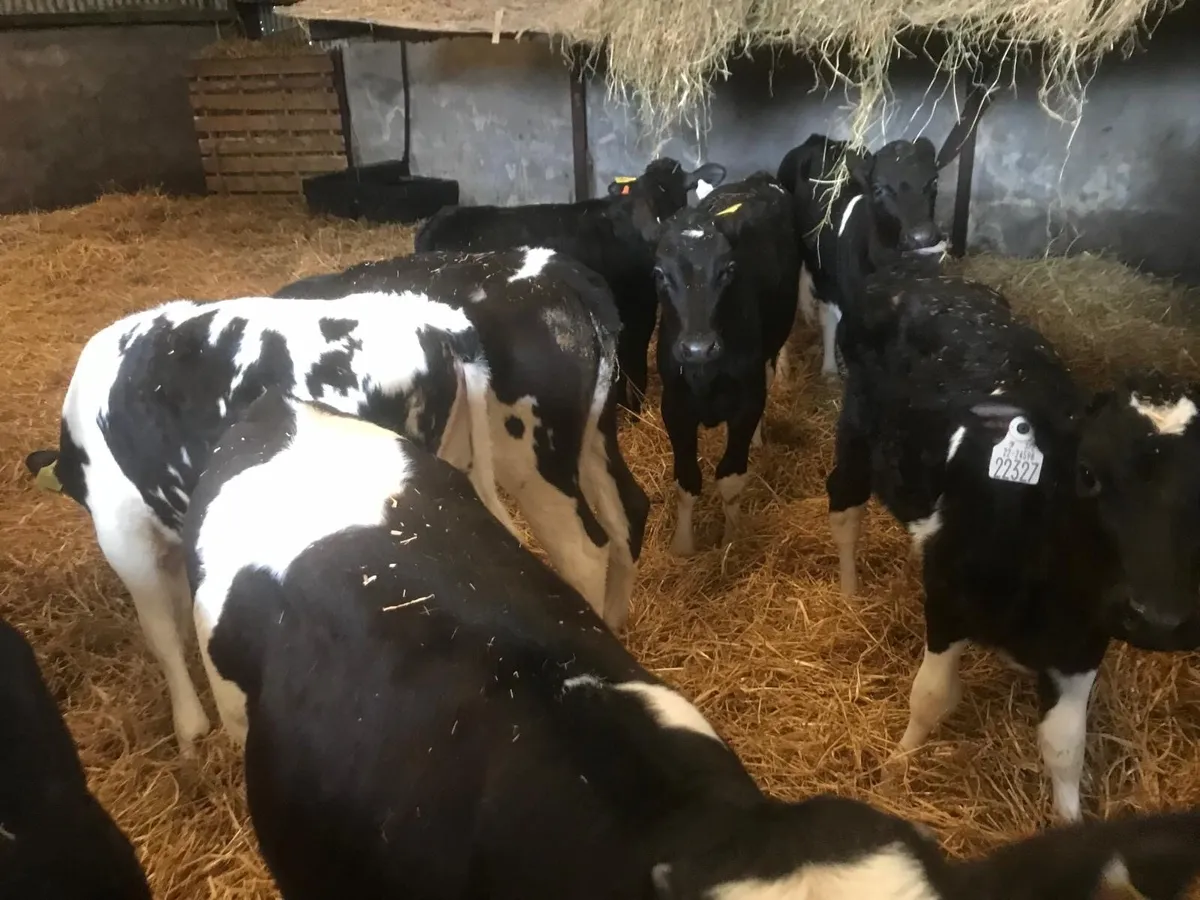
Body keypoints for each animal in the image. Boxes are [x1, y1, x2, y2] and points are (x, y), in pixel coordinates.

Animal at [26, 247, 647, 753]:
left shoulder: (122, 530)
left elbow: (160, 629)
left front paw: (190, 728)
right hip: (583, 442)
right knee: (626, 515)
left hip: (529, 461)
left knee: (582, 552)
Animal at [415, 157, 728, 415]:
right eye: (640, 195)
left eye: (676, 192)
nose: (656, 230)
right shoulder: (635, 312)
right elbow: (631, 364)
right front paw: (632, 410)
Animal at [652, 172, 800, 556]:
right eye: (660, 274)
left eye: (727, 270)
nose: (698, 347)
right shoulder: (674, 405)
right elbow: (687, 479)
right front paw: (682, 547)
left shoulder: (747, 400)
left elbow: (731, 478)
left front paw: (732, 540)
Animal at [825, 205, 1200, 822]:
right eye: (1088, 473)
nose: (1159, 618)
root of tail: (917, 275)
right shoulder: (947, 602)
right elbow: (929, 698)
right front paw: (897, 767)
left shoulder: (1083, 641)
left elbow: (1065, 745)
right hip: (855, 435)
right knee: (844, 507)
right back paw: (850, 591)